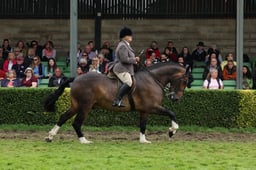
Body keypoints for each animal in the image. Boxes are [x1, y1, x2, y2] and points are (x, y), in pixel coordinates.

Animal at [44, 61, 188, 144]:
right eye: (185, 80)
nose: (176, 98)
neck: (153, 79)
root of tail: (77, 78)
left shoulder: (144, 110)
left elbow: (142, 125)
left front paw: (143, 140)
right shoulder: (153, 107)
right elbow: (171, 113)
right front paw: (172, 131)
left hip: (76, 105)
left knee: (63, 117)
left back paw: (50, 136)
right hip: (85, 106)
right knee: (76, 123)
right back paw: (84, 141)